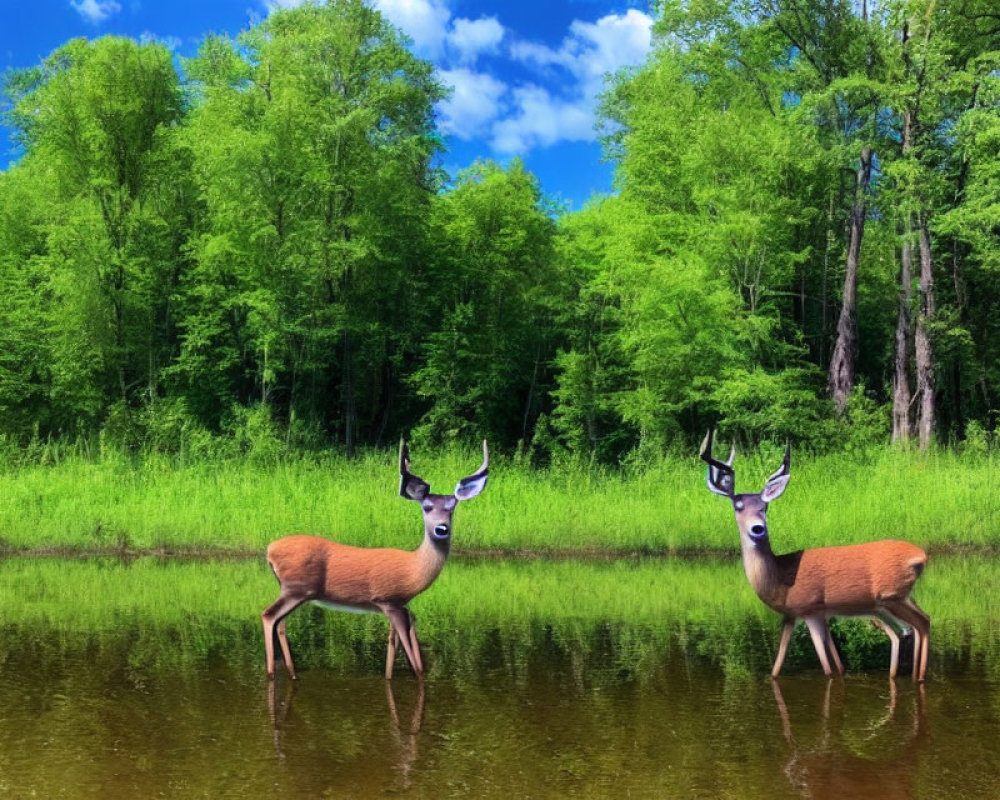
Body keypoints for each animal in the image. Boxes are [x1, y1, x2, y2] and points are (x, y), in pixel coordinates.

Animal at [262, 440, 488, 680]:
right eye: (426, 507)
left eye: (452, 509)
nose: (441, 529)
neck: (414, 569)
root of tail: (269, 550)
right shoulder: (388, 600)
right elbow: (415, 665)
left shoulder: (400, 605)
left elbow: (394, 650)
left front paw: (389, 676)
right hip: (296, 589)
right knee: (269, 616)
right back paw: (271, 673)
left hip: (293, 591)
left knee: (280, 623)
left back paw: (292, 673)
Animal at [700, 432, 924, 680]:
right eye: (737, 506)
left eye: (765, 507)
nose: (758, 528)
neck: (781, 577)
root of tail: (920, 557)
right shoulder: (793, 616)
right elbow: (778, 669)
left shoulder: (811, 611)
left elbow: (829, 670)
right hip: (894, 602)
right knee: (909, 629)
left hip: (891, 598)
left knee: (920, 625)